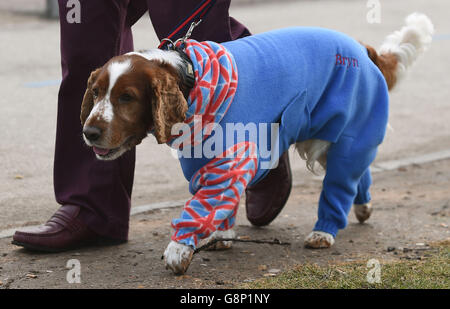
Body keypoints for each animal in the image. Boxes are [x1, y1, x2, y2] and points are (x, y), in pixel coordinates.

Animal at [80, 13, 432, 274]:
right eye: (96, 92)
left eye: (127, 97)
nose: (89, 132)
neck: (190, 79)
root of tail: (364, 51)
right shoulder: (201, 160)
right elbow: (215, 199)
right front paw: (221, 234)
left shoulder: (233, 157)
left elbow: (200, 205)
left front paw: (179, 249)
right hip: (326, 137)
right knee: (360, 174)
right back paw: (363, 207)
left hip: (346, 135)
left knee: (341, 183)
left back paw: (324, 231)